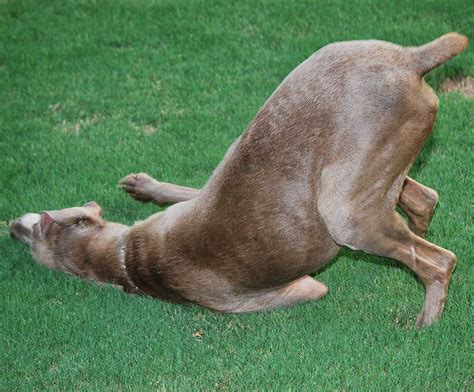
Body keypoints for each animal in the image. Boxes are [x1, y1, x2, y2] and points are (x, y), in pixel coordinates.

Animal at [10, 31, 466, 328]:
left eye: (34, 234)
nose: (10, 225)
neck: (130, 259)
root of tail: (409, 58)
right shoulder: (195, 197)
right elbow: (187, 189)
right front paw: (145, 186)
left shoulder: (299, 288)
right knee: (422, 198)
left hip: (344, 213)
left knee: (439, 260)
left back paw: (424, 322)